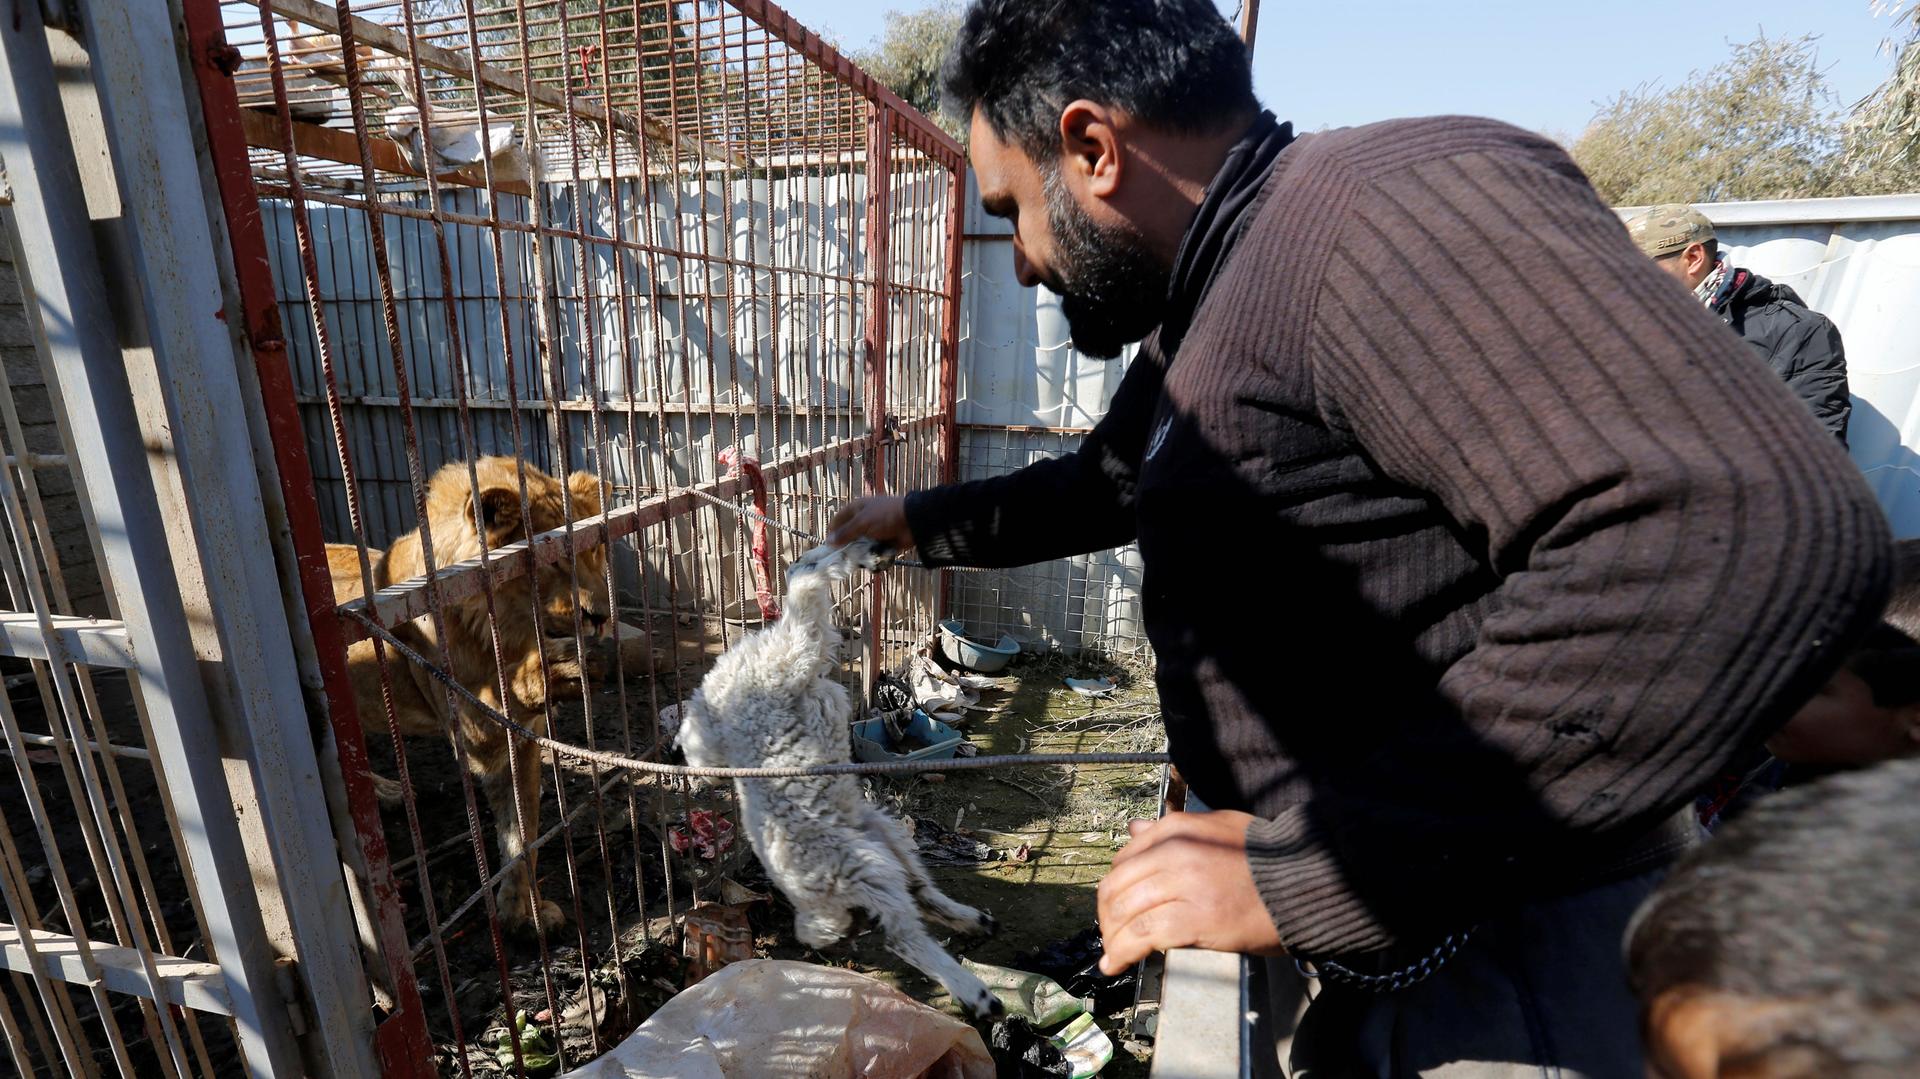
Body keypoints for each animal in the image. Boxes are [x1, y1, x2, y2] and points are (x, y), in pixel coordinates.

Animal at [330, 449, 610, 929]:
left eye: (595, 549)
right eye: (553, 561)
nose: (600, 616)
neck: (501, 630)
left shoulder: (525, 740)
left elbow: (523, 830)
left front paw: (524, 911)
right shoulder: (481, 733)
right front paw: (556, 667)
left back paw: (385, 791)